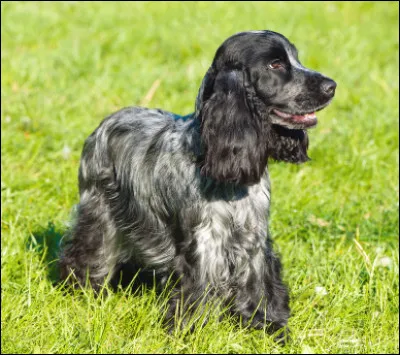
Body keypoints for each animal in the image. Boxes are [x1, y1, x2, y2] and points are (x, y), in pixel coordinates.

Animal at [58, 30, 334, 340]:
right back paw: (81, 288)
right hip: (100, 212)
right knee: (89, 253)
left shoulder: (253, 239)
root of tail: (105, 124)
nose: (331, 86)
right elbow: (198, 289)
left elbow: (259, 285)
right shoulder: (203, 241)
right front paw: (188, 330)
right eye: (275, 64)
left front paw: (270, 326)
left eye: (295, 58)